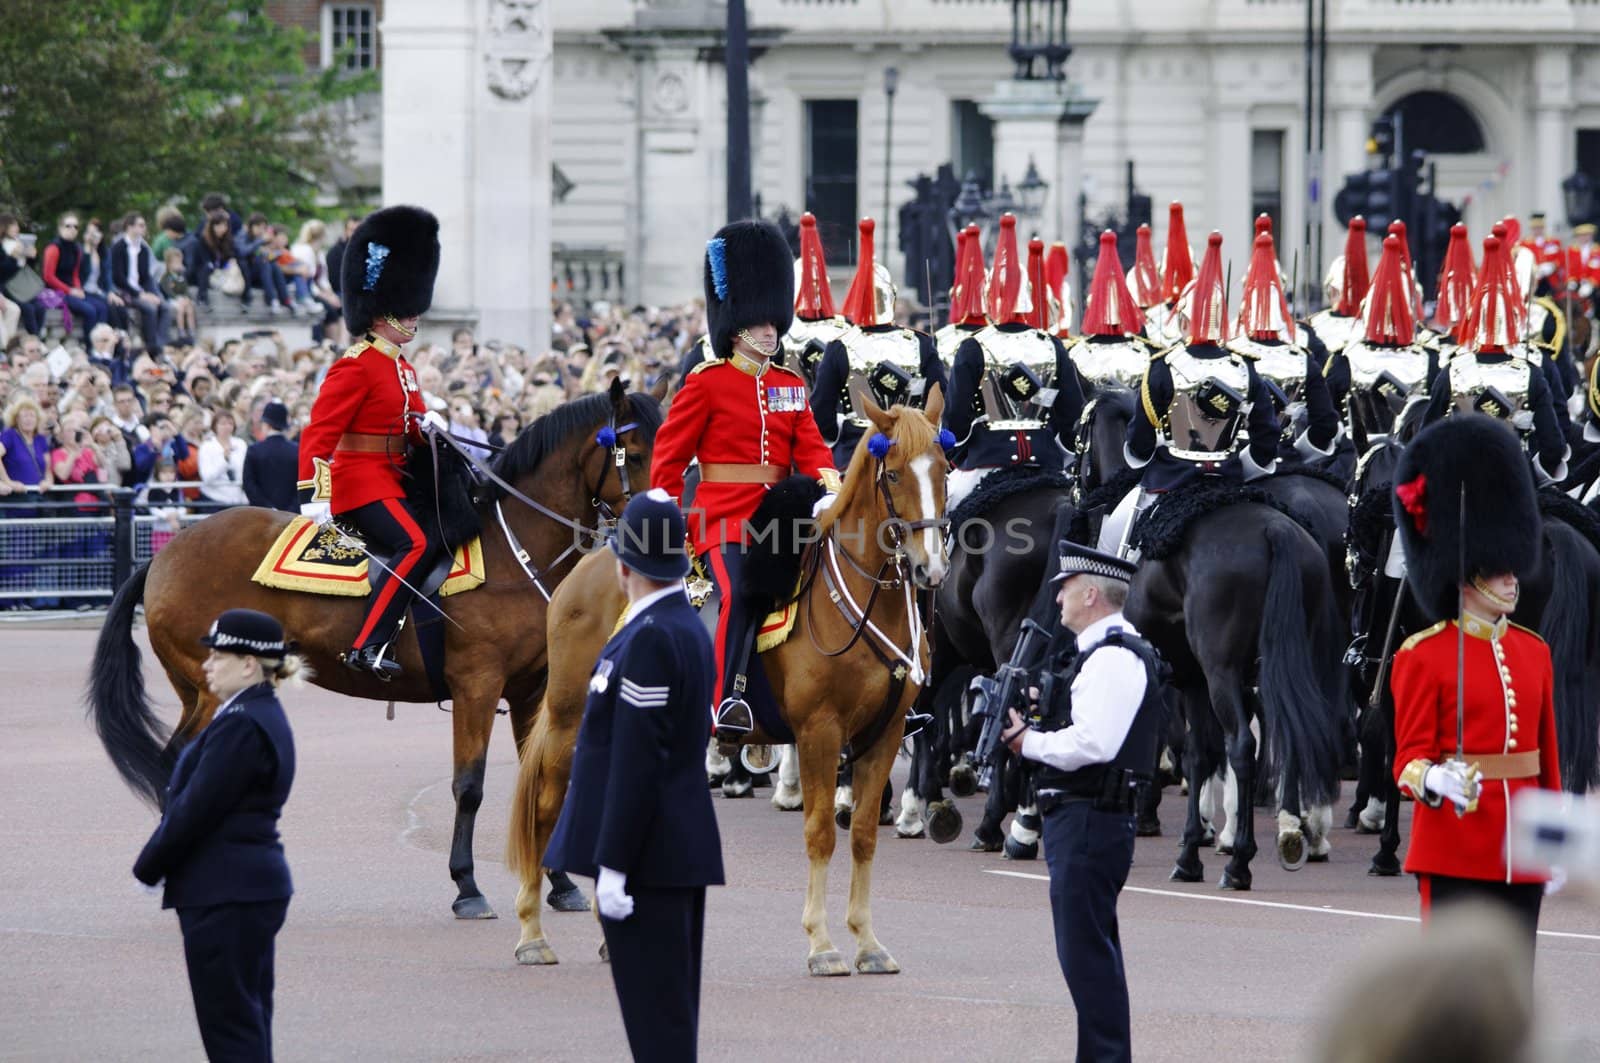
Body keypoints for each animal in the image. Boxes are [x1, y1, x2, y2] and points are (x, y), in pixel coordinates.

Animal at [89, 385, 662, 915]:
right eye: (633, 452)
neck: (511, 551)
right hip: (212, 691)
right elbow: (469, 786)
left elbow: (543, 779)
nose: (664, 530)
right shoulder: (477, 686)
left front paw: (560, 885)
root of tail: (165, 554)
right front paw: (467, 886)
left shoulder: (530, 691)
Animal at [505, 389, 940, 973]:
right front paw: (822, 944)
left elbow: (865, 836)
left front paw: (868, 943)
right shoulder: (819, 732)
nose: (930, 568)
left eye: (943, 468)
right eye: (892, 474)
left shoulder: (884, 734)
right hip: (568, 717)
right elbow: (822, 833)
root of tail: (589, 561)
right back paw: (532, 931)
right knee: (547, 806)